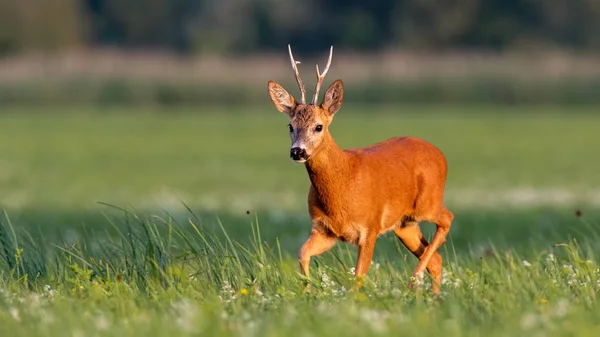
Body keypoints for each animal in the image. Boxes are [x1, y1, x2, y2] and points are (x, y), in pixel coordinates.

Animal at [268, 44, 454, 292]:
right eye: (290, 125)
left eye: (319, 126)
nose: (298, 151)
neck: (343, 183)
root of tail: (440, 154)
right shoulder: (325, 230)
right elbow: (302, 253)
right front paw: (308, 292)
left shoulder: (370, 227)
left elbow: (359, 276)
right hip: (405, 224)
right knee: (436, 260)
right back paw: (431, 295)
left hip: (427, 203)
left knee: (448, 219)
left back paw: (415, 277)